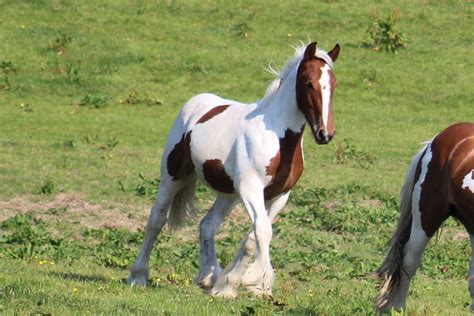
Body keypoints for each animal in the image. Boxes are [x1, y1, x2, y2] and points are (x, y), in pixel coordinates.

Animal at [128, 40, 338, 298]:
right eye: (308, 83)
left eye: (334, 84)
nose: (325, 134)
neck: (278, 137)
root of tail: (196, 103)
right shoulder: (251, 189)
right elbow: (262, 231)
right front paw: (259, 282)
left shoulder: (279, 195)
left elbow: (253, 237)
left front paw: (228, 284)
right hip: (172, 176)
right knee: (156, 219)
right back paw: (138, 276)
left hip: (228, 193)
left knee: (207, 224)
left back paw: (209, 277)